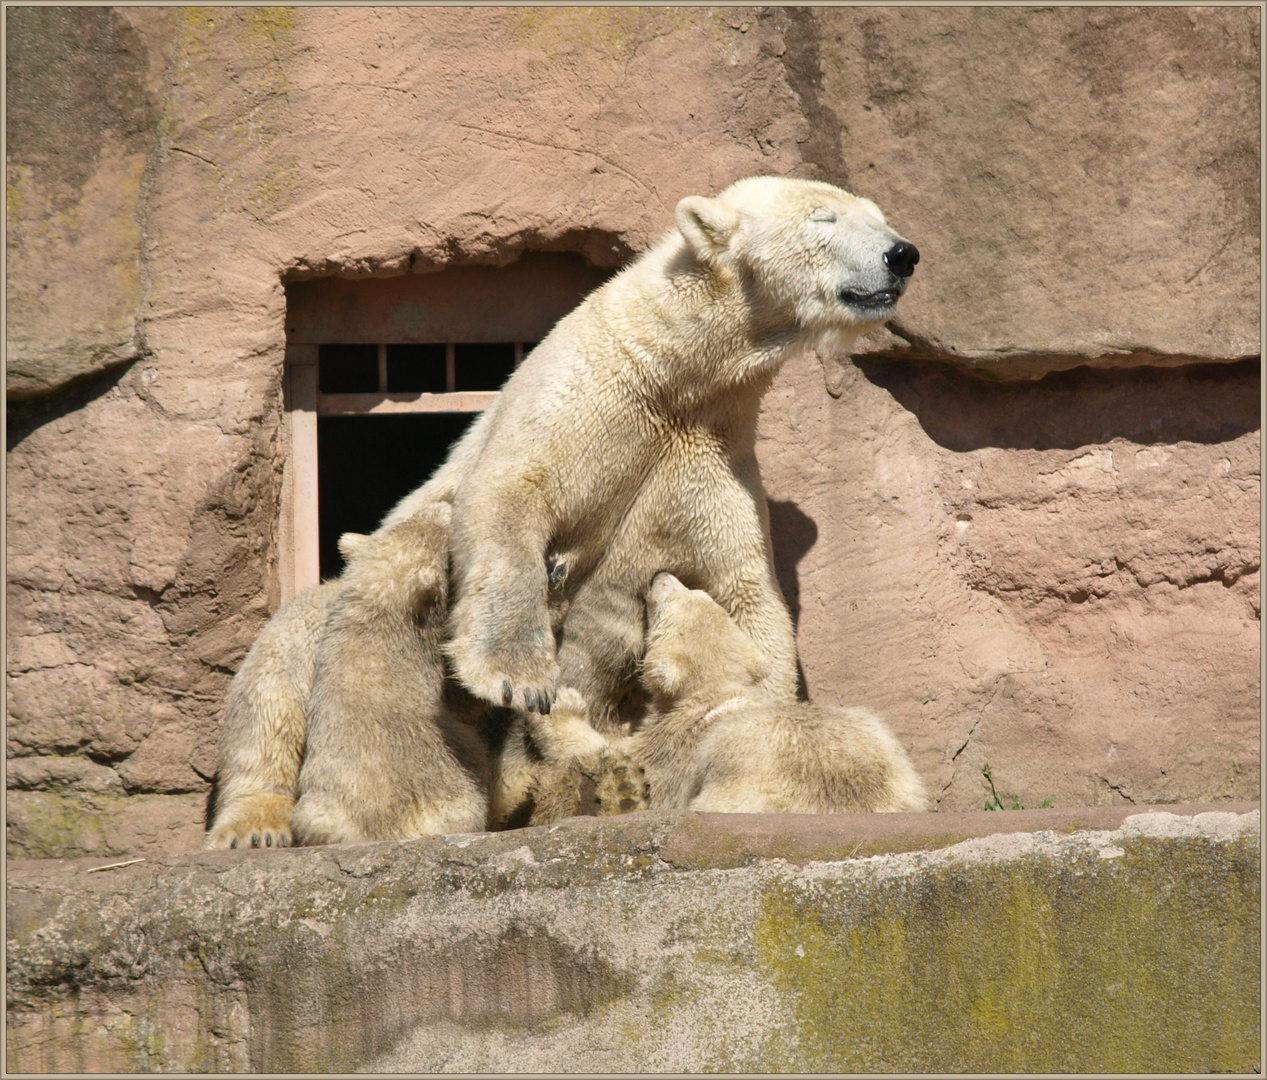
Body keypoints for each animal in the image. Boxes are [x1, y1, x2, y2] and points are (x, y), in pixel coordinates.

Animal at [392, 174, 912, 735]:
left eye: (880, 216)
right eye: (823, 217)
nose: (903, 254)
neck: (676, 374)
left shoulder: (711, 453)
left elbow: (743, 590)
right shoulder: (591, 394)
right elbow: (511, 490)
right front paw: (517, 678)